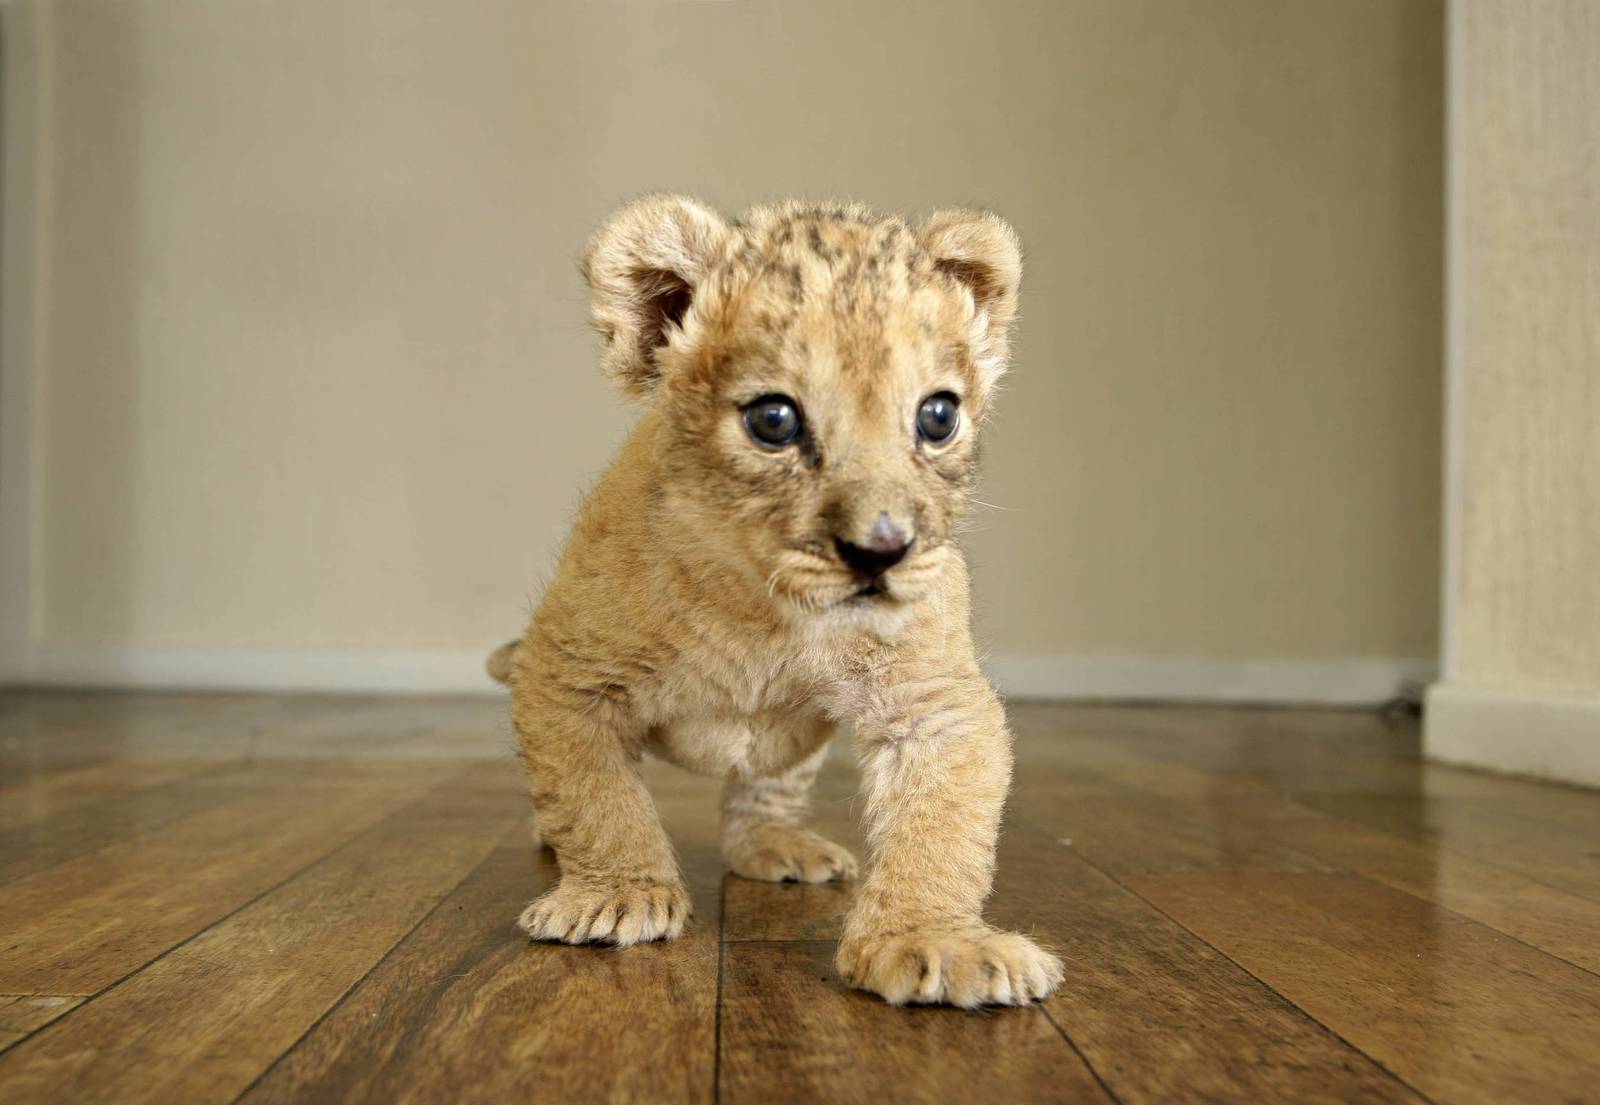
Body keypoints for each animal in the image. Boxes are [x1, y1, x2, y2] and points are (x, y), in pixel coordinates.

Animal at [488, 195, 1063, 1007]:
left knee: (758, 795)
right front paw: (617, 895)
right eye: (774, 420)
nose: (881, 551)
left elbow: (941, 829)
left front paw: (933, 939)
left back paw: (778, 844)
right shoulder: (565, 671)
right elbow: (597, 796)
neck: (767, 608)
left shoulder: (933, 701)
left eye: (938, 416)